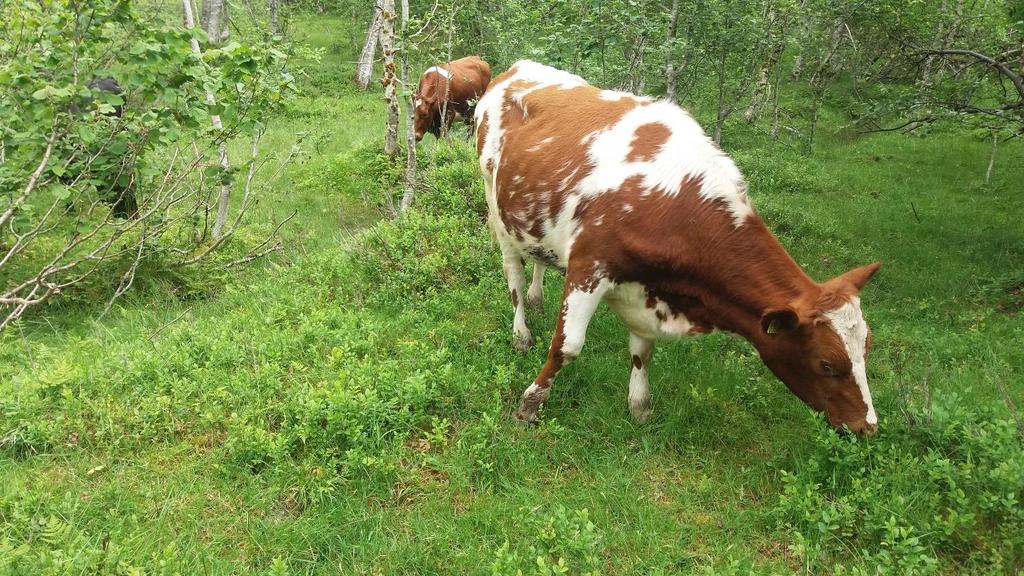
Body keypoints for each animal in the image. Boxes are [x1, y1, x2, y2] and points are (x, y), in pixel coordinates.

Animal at [475, 60, 884, 432]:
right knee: (513, 273)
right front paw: (530, 404)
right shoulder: (590, 267)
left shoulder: (645, 290)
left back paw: (537, 296)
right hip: (497, 207)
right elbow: (567, 346)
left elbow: (643, 351)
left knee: (537, 258)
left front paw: (640, 408)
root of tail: (519, 67)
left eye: (866, 348)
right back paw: (521, 331)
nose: (868, 426)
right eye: (827, 364)